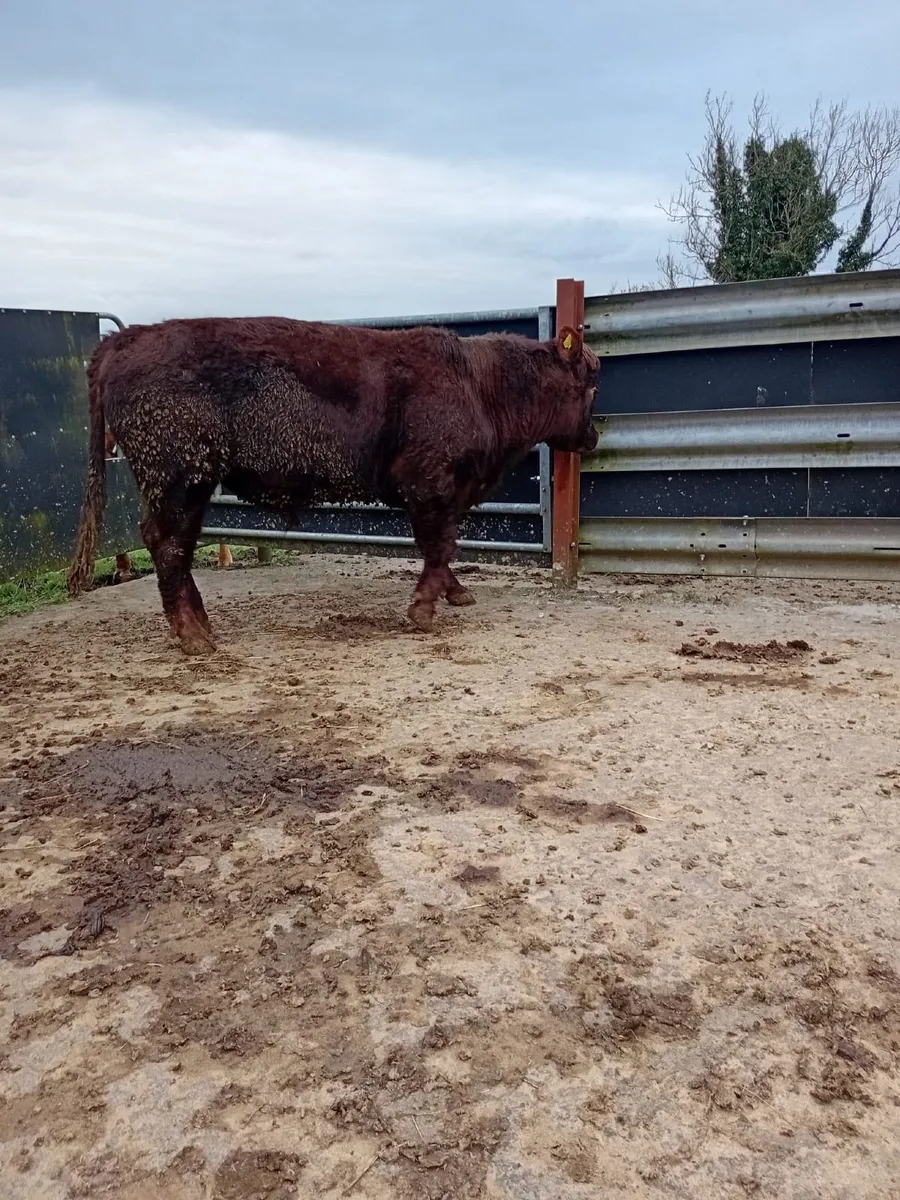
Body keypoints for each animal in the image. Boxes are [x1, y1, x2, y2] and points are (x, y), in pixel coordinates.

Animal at [66, 317, 599, 655]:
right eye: (589, 387)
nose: (593, 437)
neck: (477, 381)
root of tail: (127, 338)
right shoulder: (427, 484)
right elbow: (439, 544)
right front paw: (423, 610)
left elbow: (444, 545)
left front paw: (456, 593)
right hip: (181, 481)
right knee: (168, 544)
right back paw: (195, 637)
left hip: (189, 487)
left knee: (175, 545)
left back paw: (201, 625)